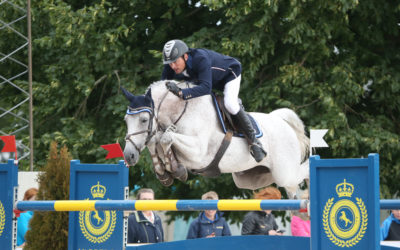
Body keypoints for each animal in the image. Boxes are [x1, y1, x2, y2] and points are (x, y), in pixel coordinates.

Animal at [122, 80, 310, 197]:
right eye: (126, 120)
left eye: (143, 120)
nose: (129, 156)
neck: (181, 112)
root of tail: (281, 121)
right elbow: (157, 141)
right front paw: (167, 173)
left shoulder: (198, 153)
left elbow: (164, 137)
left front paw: (175, 169)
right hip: (251, 178)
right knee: (282, 183)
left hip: (285, 172)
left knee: (303, 171)